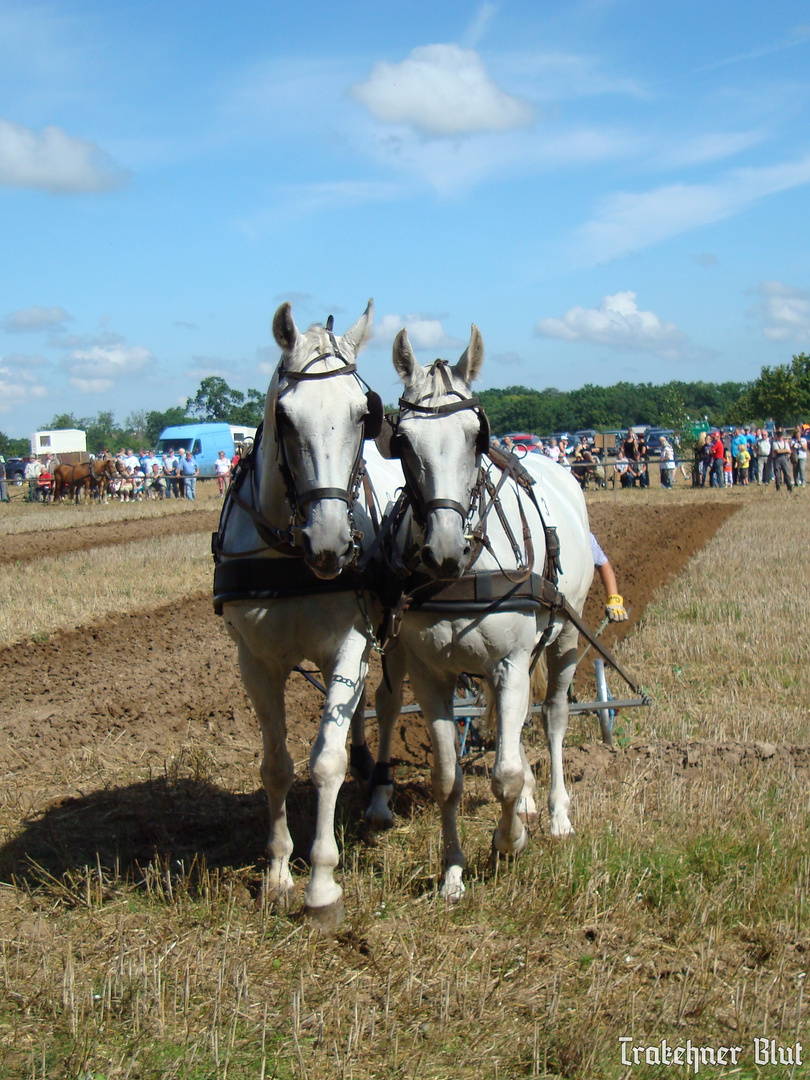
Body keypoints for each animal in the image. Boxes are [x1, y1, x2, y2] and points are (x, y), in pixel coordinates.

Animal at [213, 302, 382, 928]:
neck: (291, 559)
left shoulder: (351, 643)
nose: (330, 542)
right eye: (284, 416)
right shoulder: (255, 662)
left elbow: (325, 762)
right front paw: (279, 871)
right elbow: (277, 765)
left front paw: (323, 885)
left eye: (363, 413)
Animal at [371, 328, 591, 902]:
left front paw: (508, 841)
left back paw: (557, 812)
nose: (445, 549)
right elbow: (448, 778)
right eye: (403, 442)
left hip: (564, 639)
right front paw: (452, 873)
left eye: (476, 436)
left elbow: (505, 774)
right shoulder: (430, 673)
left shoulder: (512, 661)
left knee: (553, 718)